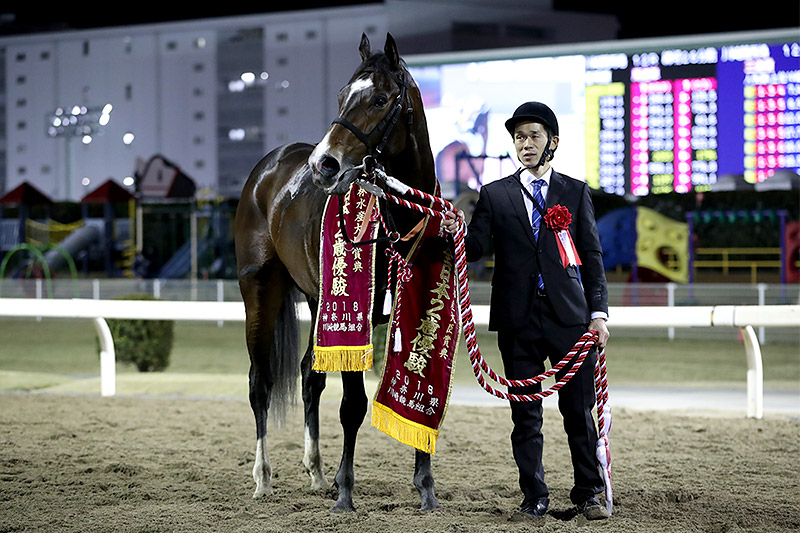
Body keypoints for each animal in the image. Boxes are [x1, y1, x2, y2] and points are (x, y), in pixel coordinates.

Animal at [234, 33, 440, 512]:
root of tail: (269, 168)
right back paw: (262, 477)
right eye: (343, 96)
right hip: (260, 288)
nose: (323, 163)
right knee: (260, 381)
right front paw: (346, 492)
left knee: (310, 377)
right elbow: (353, 406)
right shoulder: (355, 319)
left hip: (318, 300)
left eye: (380, 99)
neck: (399, 220)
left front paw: (425, 487)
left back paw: (315, 471)